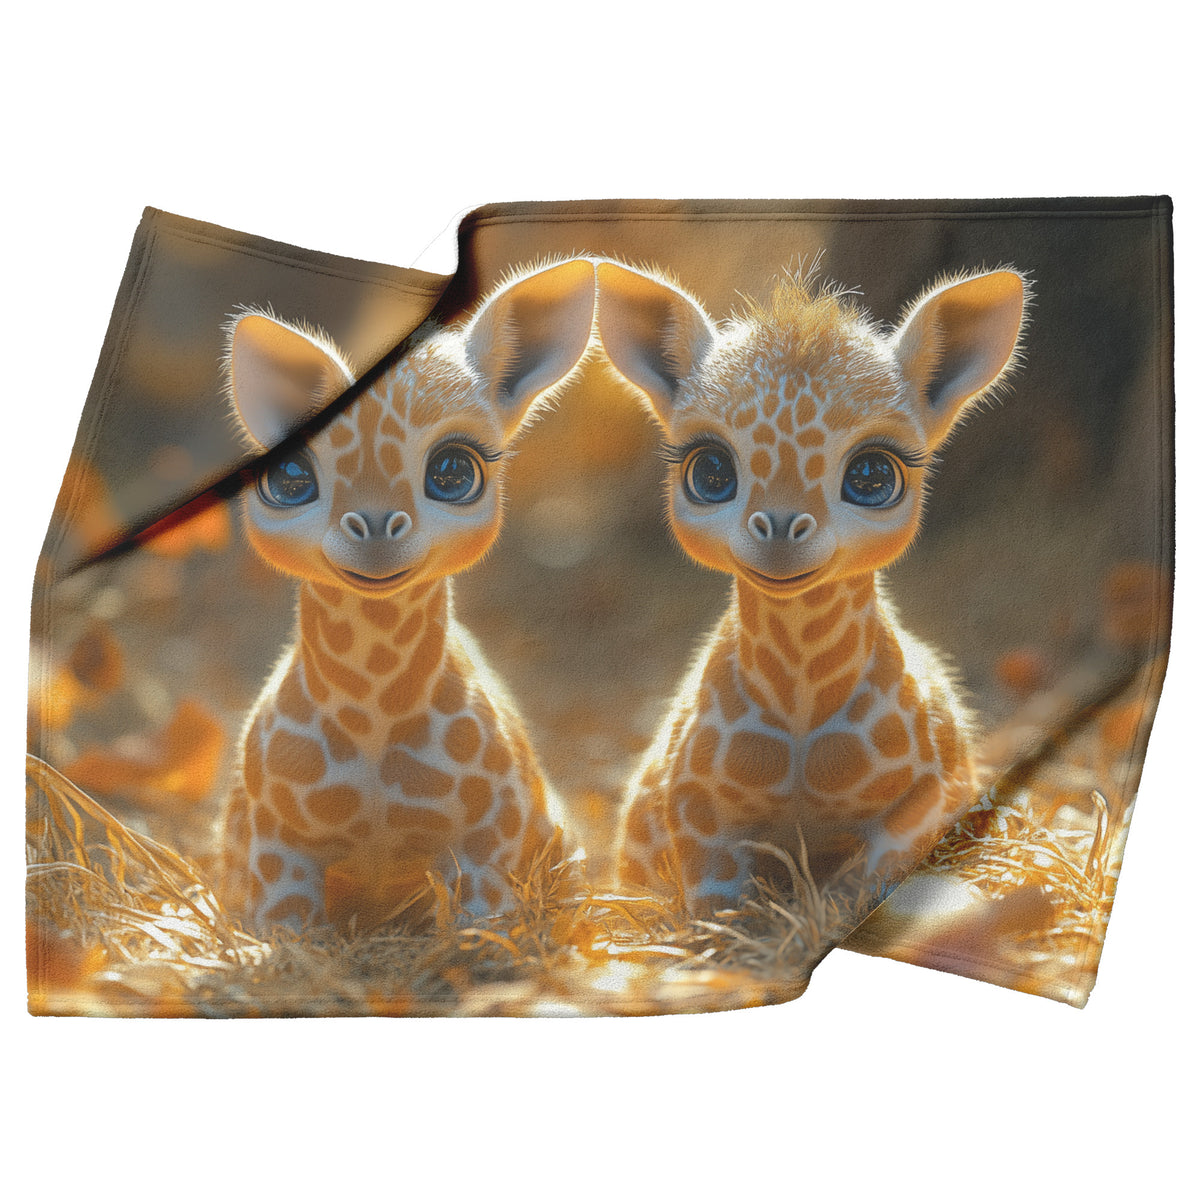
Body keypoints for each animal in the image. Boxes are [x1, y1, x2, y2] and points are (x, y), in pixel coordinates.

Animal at [217, 259, 596, 932]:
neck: (372, 728)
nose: (373, 527)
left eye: (454, 471)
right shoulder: (278, 840)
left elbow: (487, 930)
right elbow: (285, 927)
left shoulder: (487, 838)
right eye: (289, 478)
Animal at [594, 258, 1027, 911]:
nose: (779, 528)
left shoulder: (926, 798)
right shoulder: (697, 809)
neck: (800, 711)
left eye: (873, 475)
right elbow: (719, 913)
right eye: (710, 470)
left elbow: (866, 888)